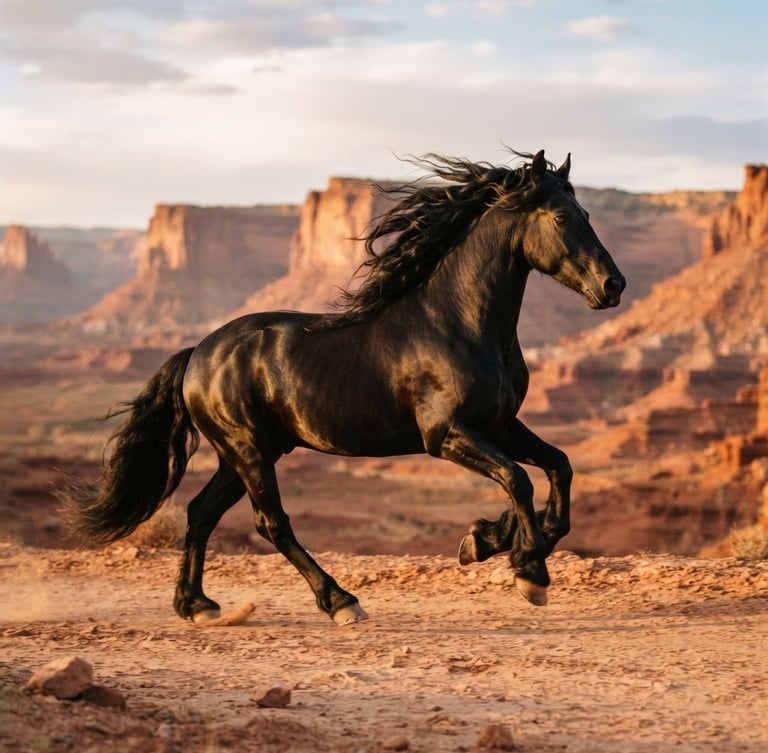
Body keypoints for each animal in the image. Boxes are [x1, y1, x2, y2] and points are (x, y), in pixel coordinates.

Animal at [60, 149, 625, 626]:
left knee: (201, 513)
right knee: (271, 523)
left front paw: (486, 539)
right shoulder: (445, 435)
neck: (461, 324)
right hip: (248, 451)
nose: (613, 286)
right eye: (561, 218)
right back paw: (340, 602)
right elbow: (518, 479)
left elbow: (557, 467)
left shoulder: (501, 425)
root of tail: (197, 353)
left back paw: (196, 605)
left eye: (588, 214)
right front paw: (528, 570)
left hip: (243, 453)